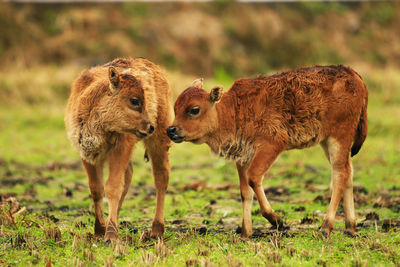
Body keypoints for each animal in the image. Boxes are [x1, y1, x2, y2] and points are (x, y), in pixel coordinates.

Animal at [65, 58, 172, 243]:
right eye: (134, 100)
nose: (150, 126)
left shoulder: (120, 148)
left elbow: (112, 187)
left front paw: (111, 235)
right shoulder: (87, 154)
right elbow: (96, 189)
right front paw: (99, 230)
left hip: (159, 142)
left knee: (161, 177)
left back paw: (156, 230)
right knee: (128, 176)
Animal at [167, 65, 368, 239]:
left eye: (194, 109)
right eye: (175, 107)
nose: (171, 130)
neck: (232, 110)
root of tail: (353, 75)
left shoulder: (271, 145)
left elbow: (254, 178)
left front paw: (276, 220)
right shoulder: (243, 157)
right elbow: (245, 192)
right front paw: (245, 233)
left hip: (338, 137)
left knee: (340, 174)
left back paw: (326, 227)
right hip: (327, 142)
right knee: (348, 172)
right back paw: (350, 227)